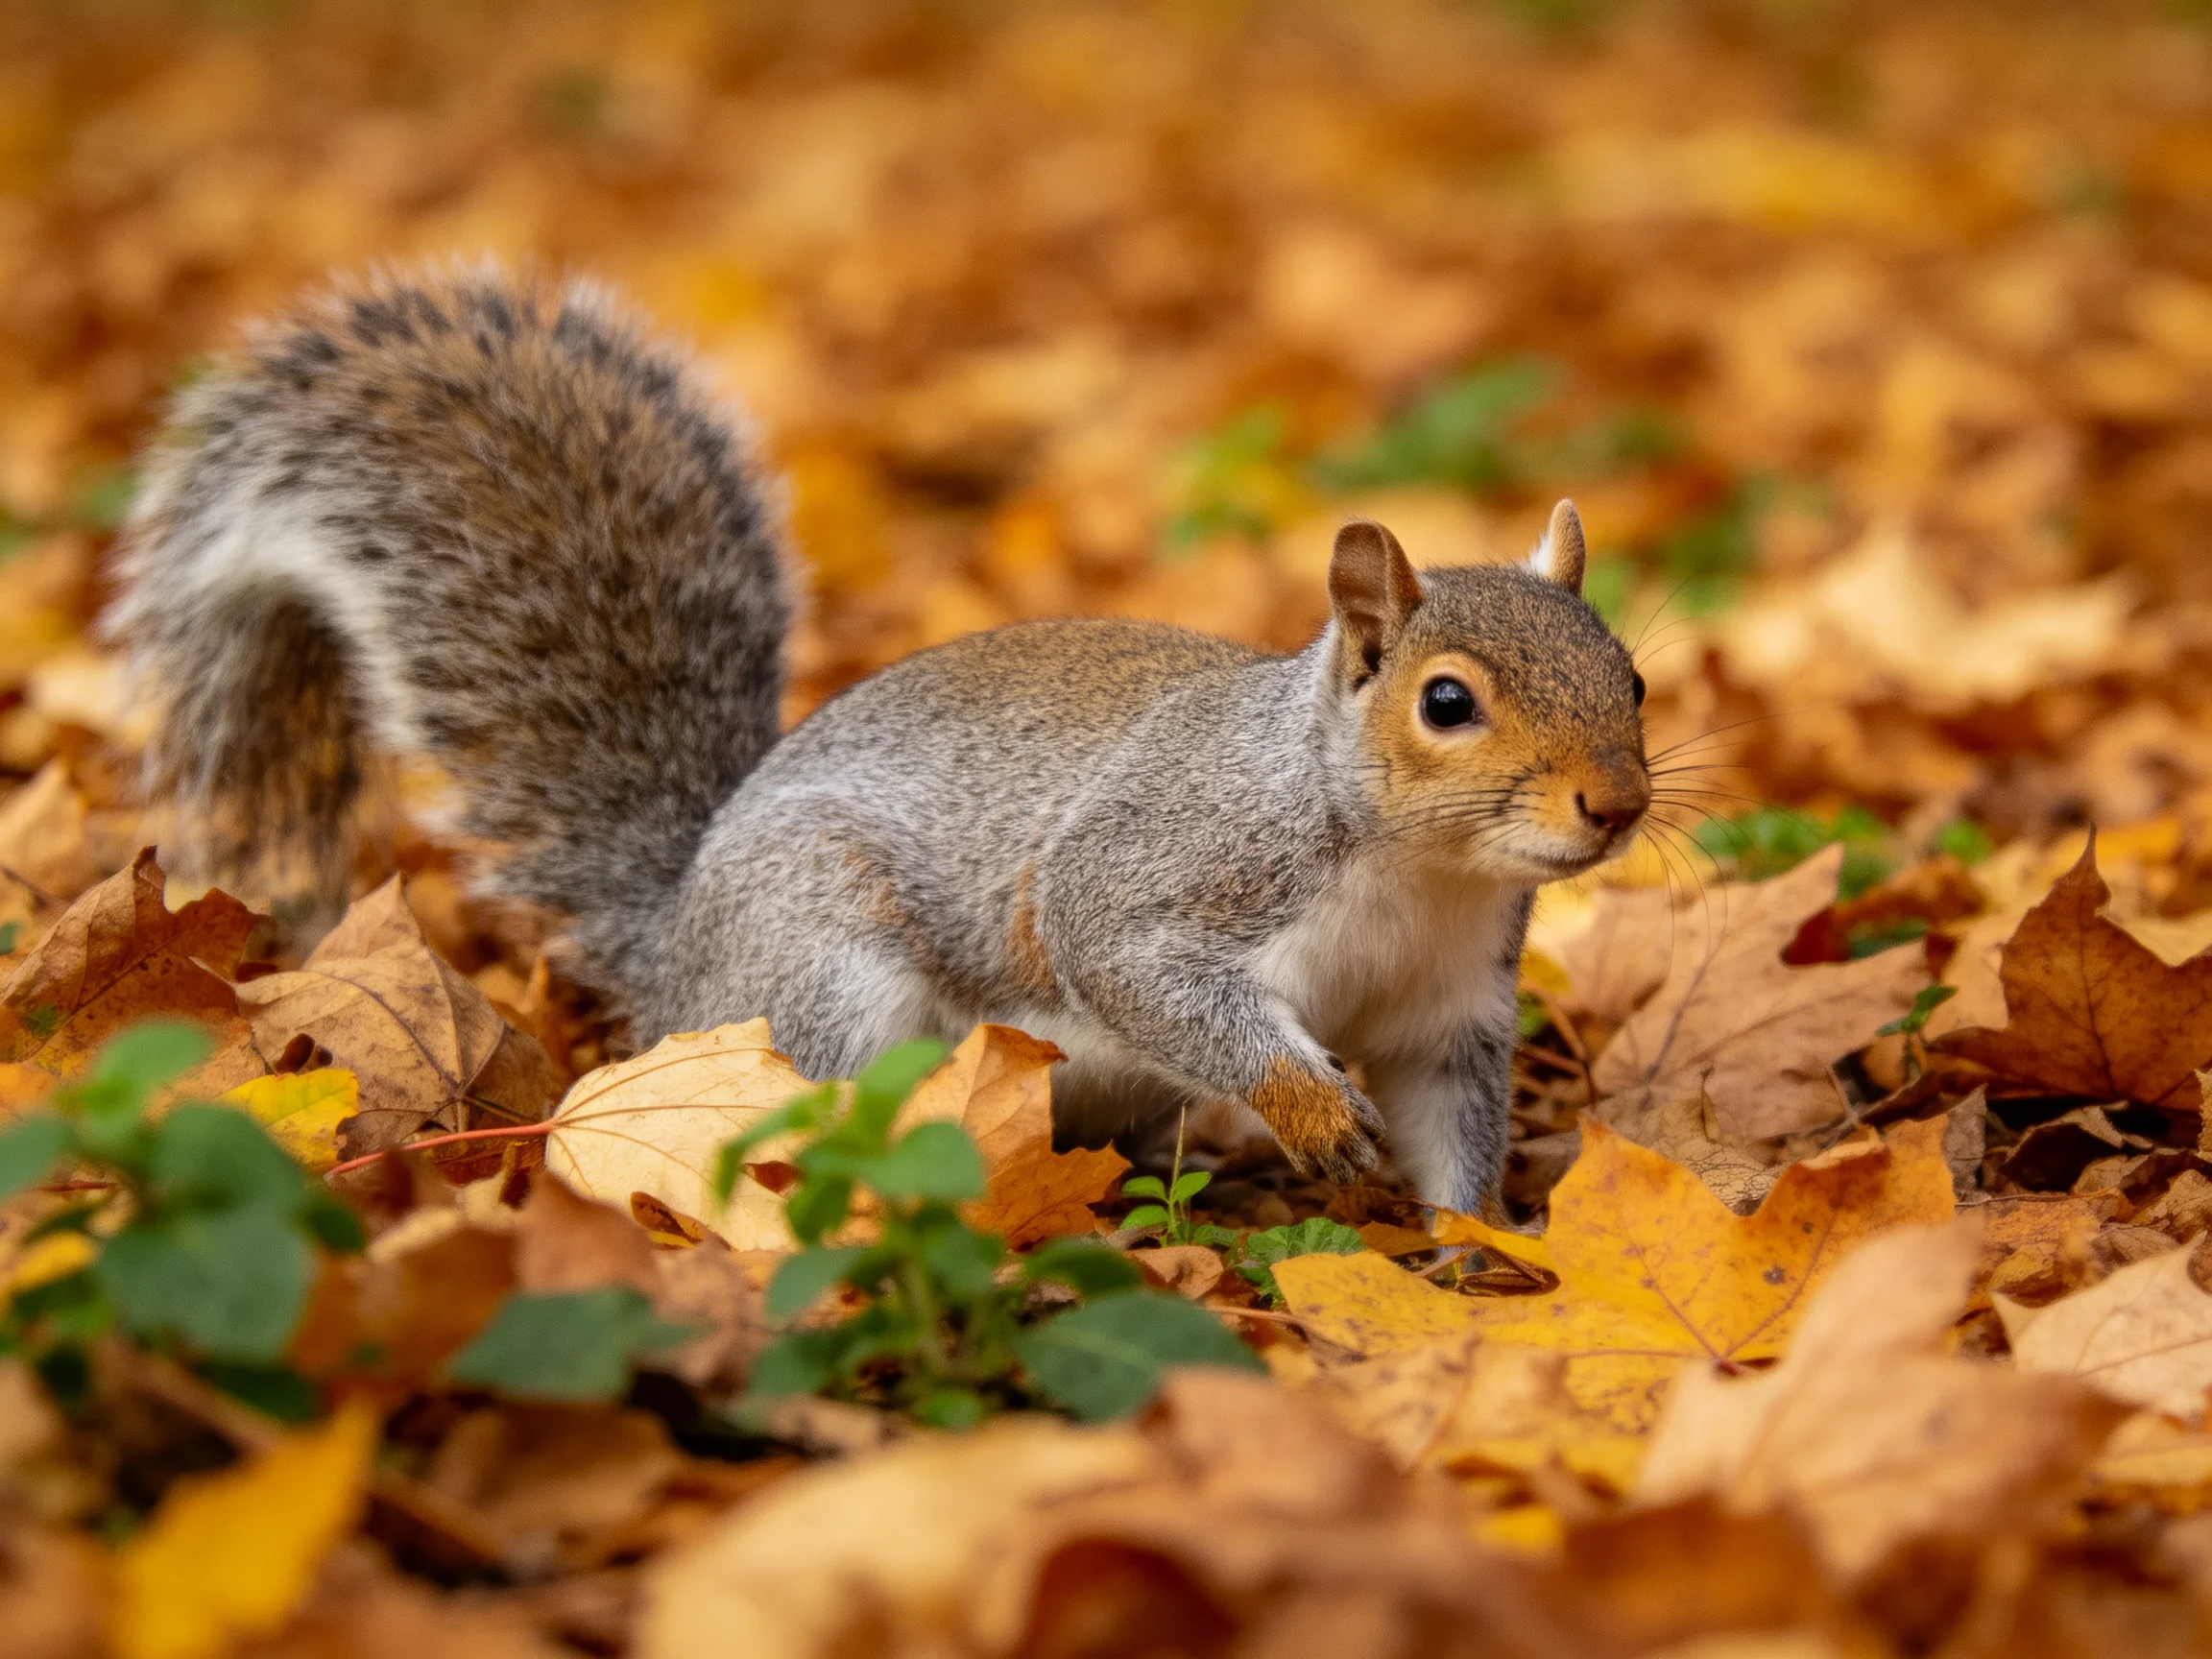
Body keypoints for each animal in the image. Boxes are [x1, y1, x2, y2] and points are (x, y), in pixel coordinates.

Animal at [105, 266, 1651, 1212]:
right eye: (1445, 702)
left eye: (1632, 677)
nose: (1617, 807)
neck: (1414, 873)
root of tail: (677, 963)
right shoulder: (1174, 863)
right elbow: (1131, 959)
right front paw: (1312, 1114)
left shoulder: (1449, 1008)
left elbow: (1453, 1134)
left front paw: (1470, 1253)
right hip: (826, 973)